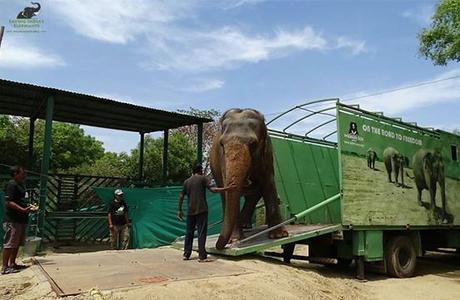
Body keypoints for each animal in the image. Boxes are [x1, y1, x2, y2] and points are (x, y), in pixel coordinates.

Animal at [211, 109, 290, 250]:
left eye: (253, 144)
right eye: (221, 144)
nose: (219, 246)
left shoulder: (267, 153)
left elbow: (268, 183)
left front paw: (279, 236)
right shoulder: (222, 158)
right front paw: (235, 239)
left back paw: (245, 225)